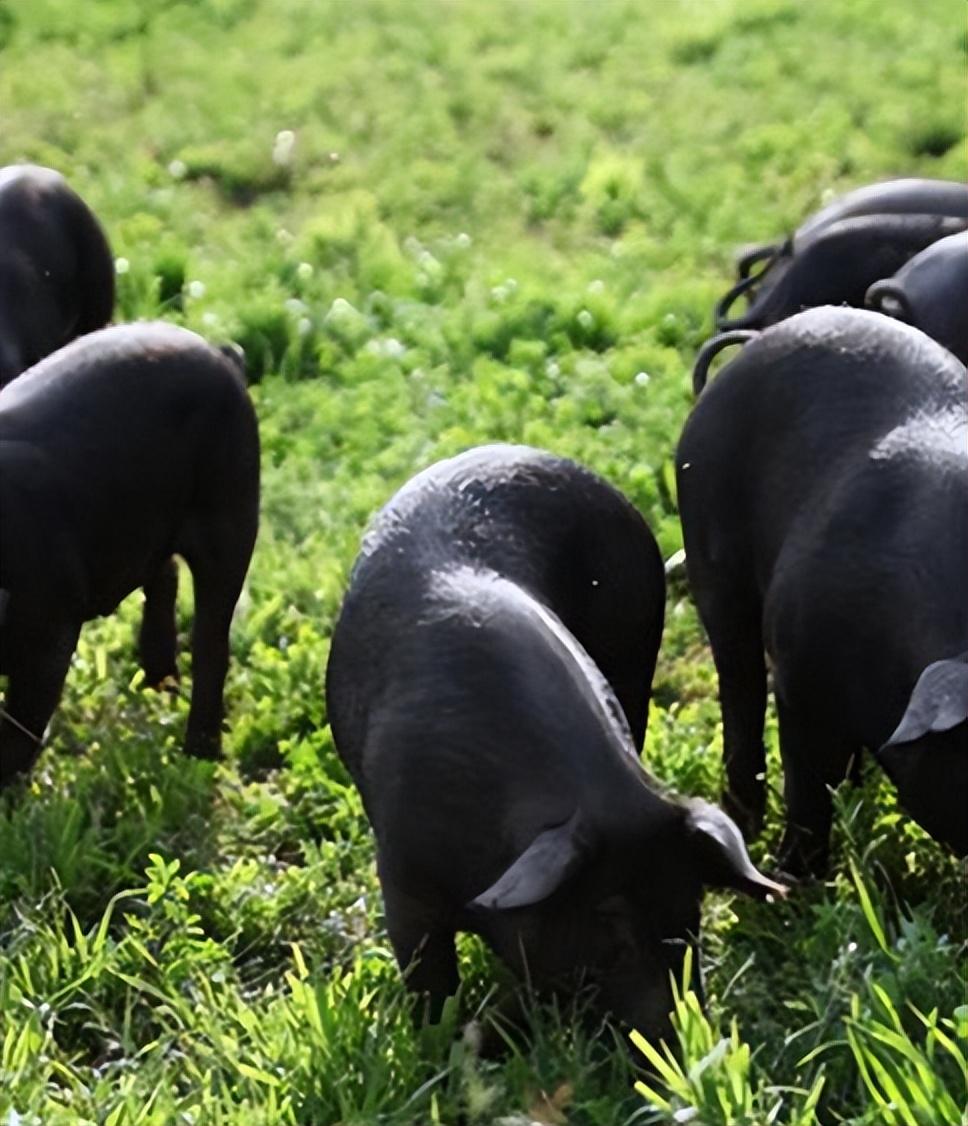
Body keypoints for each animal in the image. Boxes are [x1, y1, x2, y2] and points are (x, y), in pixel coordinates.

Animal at [0, 322, 261, 788]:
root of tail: (219, 353)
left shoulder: (53, 629)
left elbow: (21, 728)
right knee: (163, 577)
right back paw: (156, 685)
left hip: (234, 512)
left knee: (212, 637)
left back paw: (198, 754)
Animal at [326, 448, 787, 1035]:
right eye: (608, 918)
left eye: (691, 914)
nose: (680, 1038)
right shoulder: (402, 876)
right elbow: (428, 975)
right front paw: (442, 1041)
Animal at [675, 308, 963, 869]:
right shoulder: (797, 677)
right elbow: (806, 783)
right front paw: (793, 878)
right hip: (711, 560)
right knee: (738, 685)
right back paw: (746, 823)